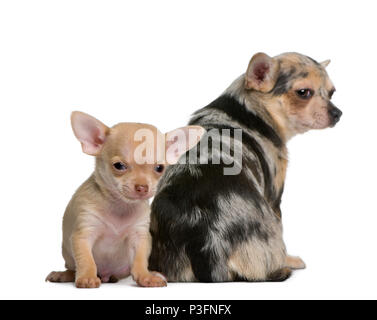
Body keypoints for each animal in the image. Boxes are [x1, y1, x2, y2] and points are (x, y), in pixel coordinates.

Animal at [46, 112, 206, 288]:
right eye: (119, 166)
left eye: (159, 168)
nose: (142, 187)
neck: (120, 206)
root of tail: (106, 275)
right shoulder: (83, 234)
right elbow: (86, 260)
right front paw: (87, 277)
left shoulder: (140, 236)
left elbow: (140, 260)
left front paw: (145, 276)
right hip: (69, 258)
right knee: (72, 268)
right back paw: (63, 275)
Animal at [149, 52, 340, 282]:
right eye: (304, 93)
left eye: (332, 92)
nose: (338, 113)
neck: (251, 110)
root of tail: (207, 242)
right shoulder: (274, 196)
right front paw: (291, 259)